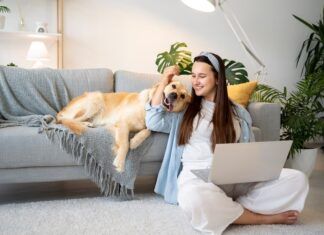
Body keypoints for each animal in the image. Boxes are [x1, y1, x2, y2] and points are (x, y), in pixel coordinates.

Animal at [55, 81, 190, 173]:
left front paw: (135, 141)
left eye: (182, 96)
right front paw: (120, 162)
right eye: (173, 86)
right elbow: (125, 144)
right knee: (68, 120)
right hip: (96, 99)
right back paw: (85, 124)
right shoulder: (123, 123)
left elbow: (148, 131)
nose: (174, 95)